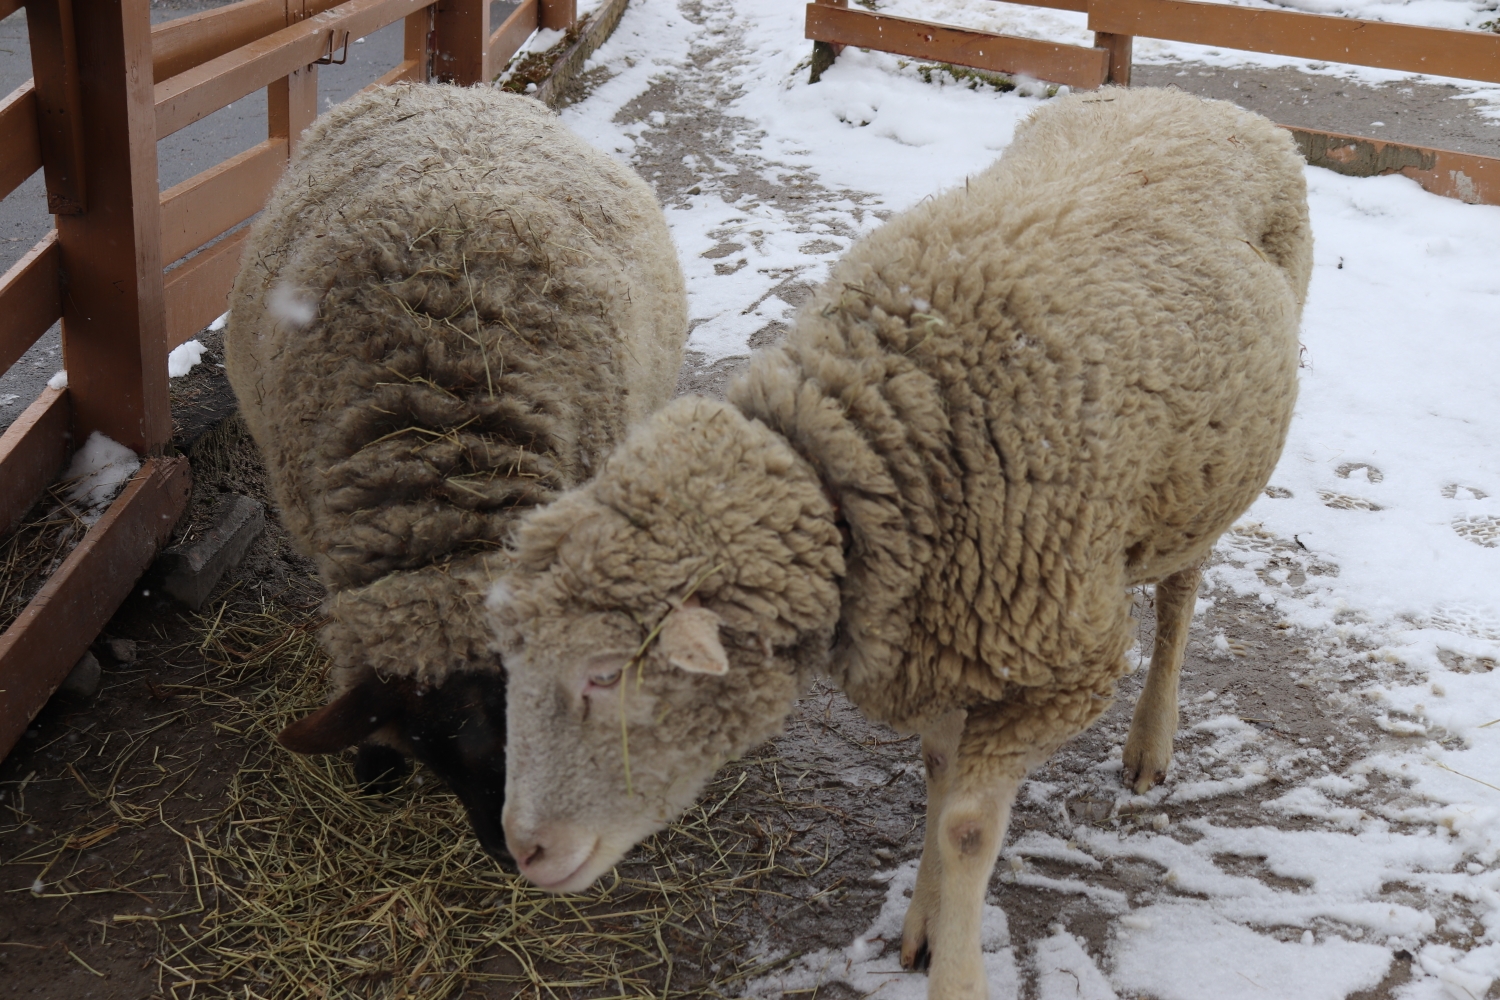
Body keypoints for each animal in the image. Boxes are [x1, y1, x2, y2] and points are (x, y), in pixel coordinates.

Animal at [486, 89, 1308, 995]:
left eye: (604, 674)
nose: (523, 849)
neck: (867, 452)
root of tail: (1197, 100)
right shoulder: (942, 638)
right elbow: (939, 780)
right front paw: (921, 922)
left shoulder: (1066, 669)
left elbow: (967, 828)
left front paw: (958, 972)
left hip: (1203, 484)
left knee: (1179, 599)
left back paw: (1150, 743)